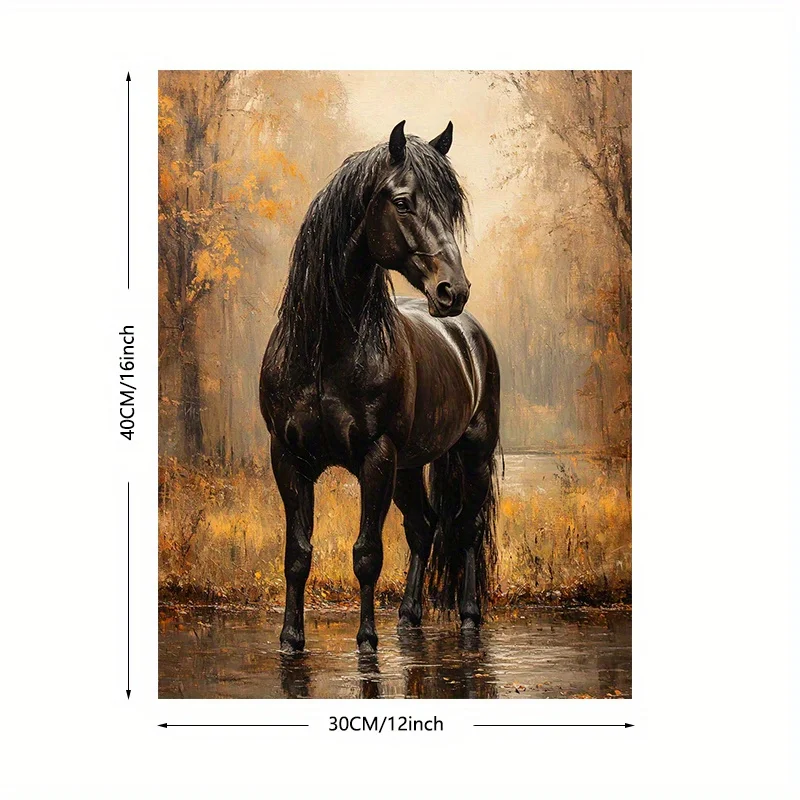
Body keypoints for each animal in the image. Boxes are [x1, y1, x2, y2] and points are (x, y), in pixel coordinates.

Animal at [260, 120, 500, 654]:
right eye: (403, 202)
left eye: (452, 208)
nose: (453, 290)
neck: (325, 350)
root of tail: (468, 333)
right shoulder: (288, 458)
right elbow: (297, 554)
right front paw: (290, 639)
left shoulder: (376, 456)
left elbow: (367, 553)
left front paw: (367, 641)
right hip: (409, 467)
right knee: (424, 528)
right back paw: (409, 616)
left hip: (470, 455)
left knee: (466, 530)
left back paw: (469, 616)